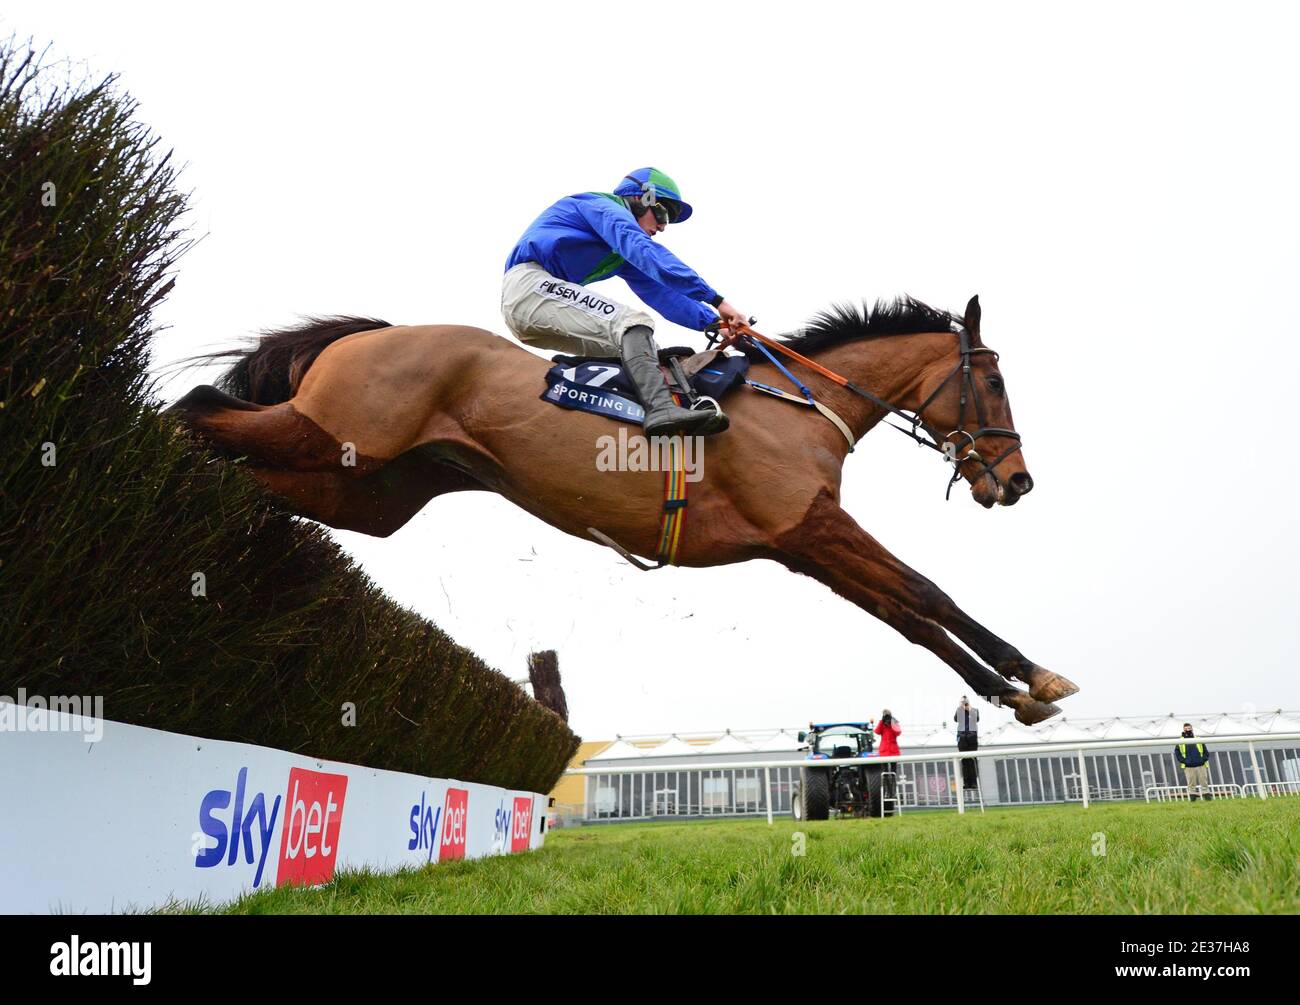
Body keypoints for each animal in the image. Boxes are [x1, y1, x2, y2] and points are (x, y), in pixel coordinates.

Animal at [175, 289, 1086, 722]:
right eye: (994, 380)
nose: (1017, 481)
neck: (797, 405)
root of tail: (366, 333)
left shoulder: (803, 544)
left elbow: (909, 616)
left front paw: (1012, 689)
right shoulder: (817, 526)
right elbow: (929, 591)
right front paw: (1035, 672)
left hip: (363, 487)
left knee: (242, 462)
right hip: (333, 437)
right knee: (191, 408)